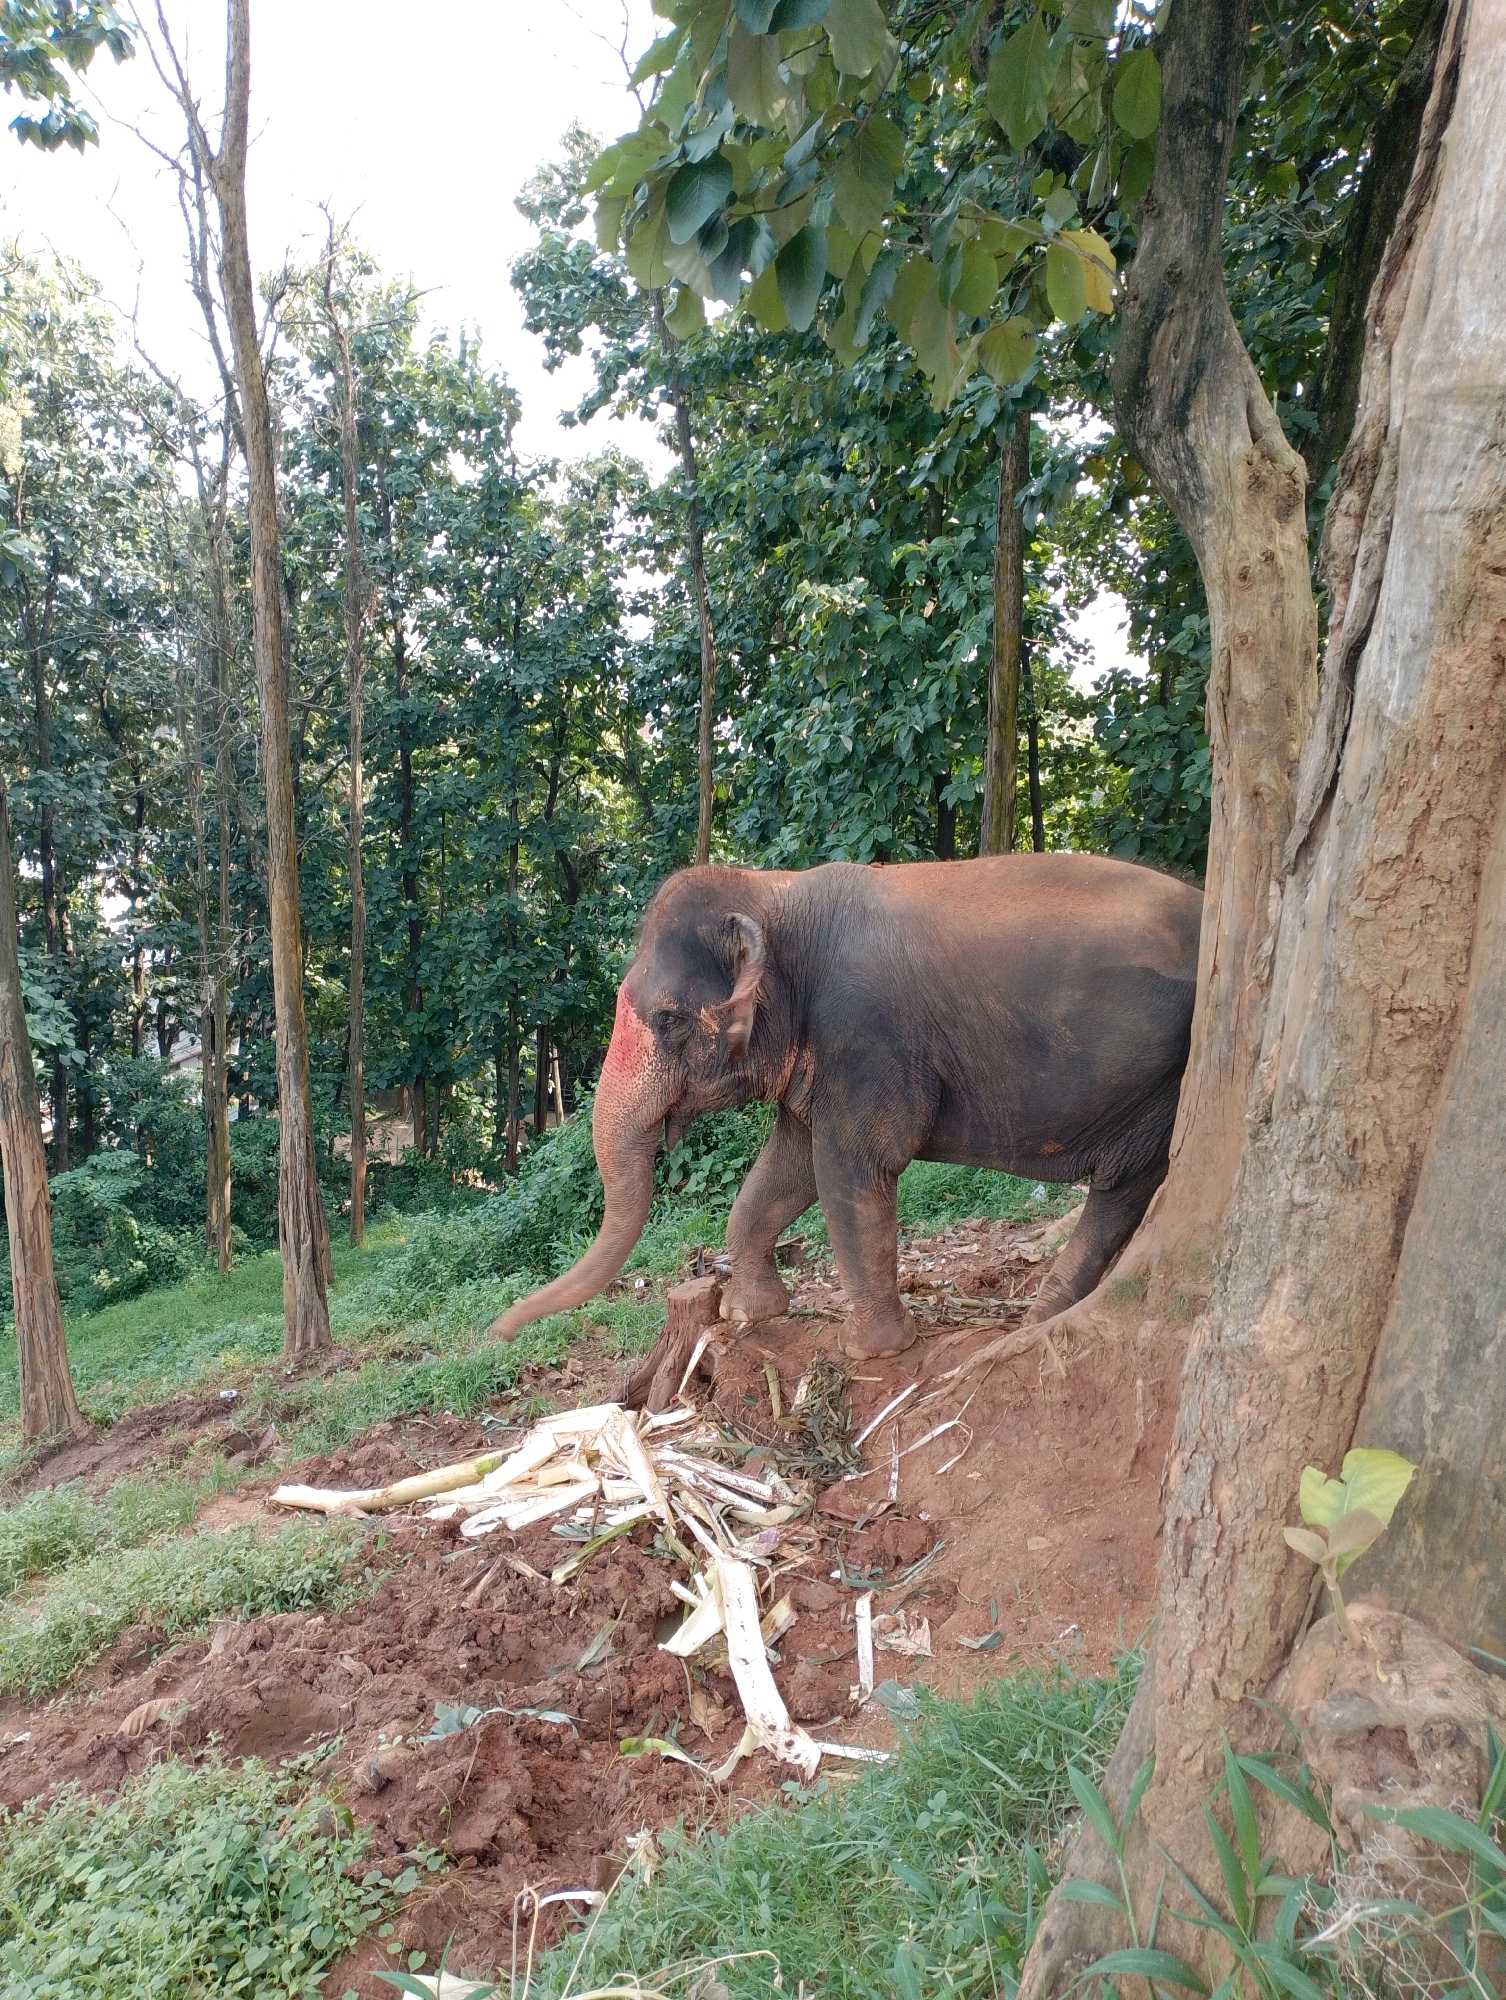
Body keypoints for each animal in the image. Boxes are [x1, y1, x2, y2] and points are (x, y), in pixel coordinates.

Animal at [489, 853, 1202, 1360]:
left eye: (668, 1019)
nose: (501, 1331)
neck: (775, 892)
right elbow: (786, 1168)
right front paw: (750, 1313)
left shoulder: (865, 1037)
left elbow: (850, 1171)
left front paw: (871, 1351)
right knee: (1128, 1189)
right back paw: (1038, 1319)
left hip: (1162, 1080)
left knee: (1123, 1185)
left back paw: (1032, 1323)